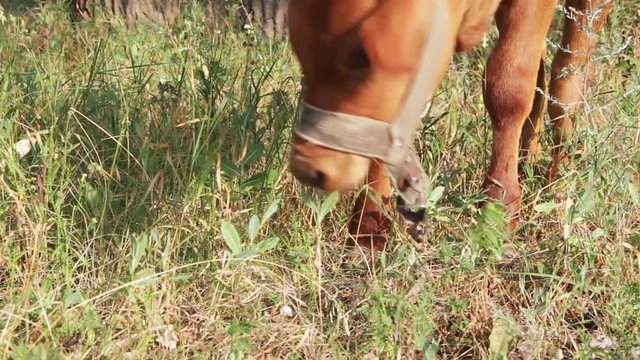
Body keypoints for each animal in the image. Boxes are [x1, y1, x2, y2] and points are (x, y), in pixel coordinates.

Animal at [288, 0, 608, 249]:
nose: (308, 167)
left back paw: (559, 177)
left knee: (569, 70)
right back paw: (530, 159)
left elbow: (510, 84)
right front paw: (368, 230)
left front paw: (498, 211)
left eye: (362, 56)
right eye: (299, 48)